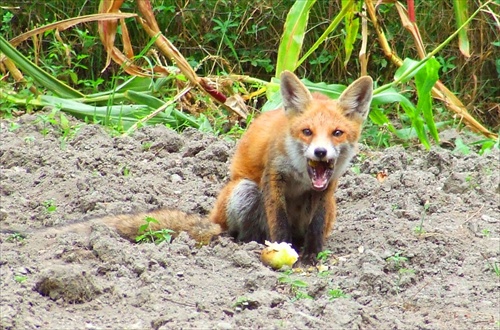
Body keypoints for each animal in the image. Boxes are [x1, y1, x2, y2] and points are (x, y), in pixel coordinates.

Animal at [9, 71, 374, 262]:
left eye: (337, 133)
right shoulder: (274, 178)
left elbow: (315, 229)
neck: (300, 173)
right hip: (244, 191)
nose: (321, 153)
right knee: (243, 234)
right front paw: (285, 253)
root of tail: (215, 221)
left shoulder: (327, 188)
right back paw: (249, 245)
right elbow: (279, 226)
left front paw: (312, 257)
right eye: (307, 132)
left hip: (328, 206)